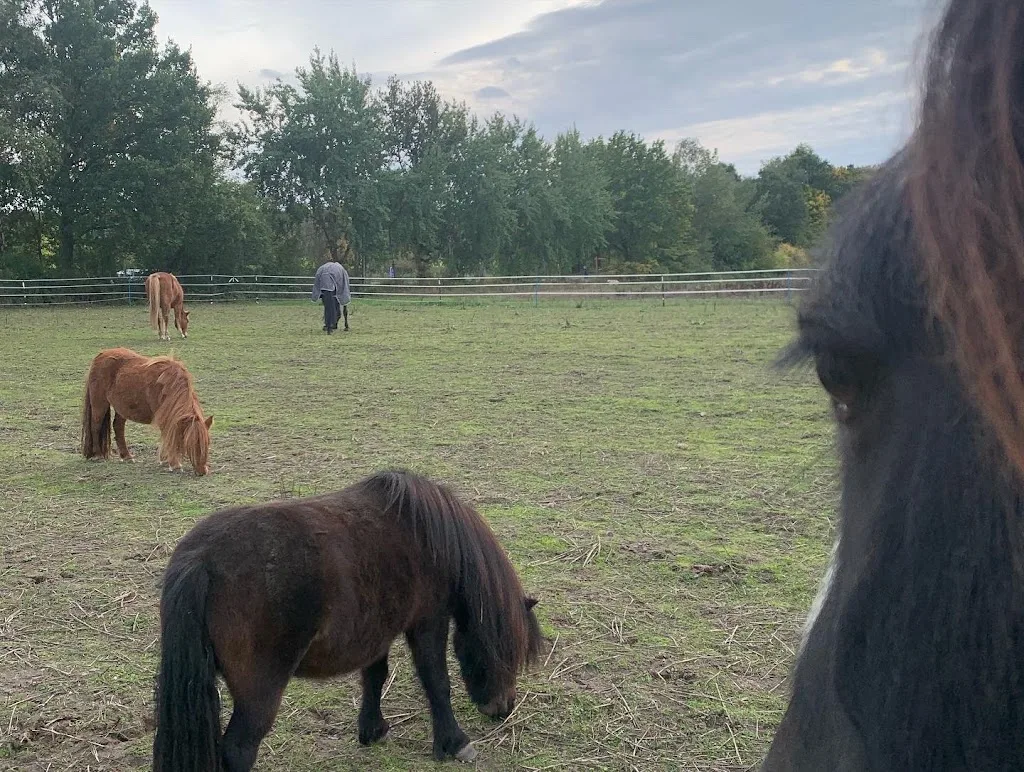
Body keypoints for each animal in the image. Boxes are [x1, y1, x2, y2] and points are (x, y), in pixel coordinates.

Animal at [80, 347, 213, 476]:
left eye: (207, 443)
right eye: (190, 444)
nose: (202, 472)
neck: (167, 385)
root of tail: (101, 355)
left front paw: (165, 460)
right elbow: (167, 437)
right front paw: (174, 464)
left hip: (122, 408)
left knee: (118, 427)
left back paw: (127, 456)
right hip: (99, 403)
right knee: (95, 426)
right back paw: (98, 455)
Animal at [152, 470, 542, 771]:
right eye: (510, 653)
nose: (503, 708)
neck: (433, 538)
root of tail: (202, 559)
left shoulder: (377, 631)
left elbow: (375, 677)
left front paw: (372, 729)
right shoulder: (428, 622)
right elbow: (437, 682)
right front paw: (454, 742)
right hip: (258, 693)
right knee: (237, 750)